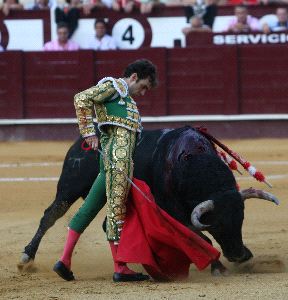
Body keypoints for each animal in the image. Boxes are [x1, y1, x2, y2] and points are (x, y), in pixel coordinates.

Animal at [18, 125, 280, 276]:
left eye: (241, 219)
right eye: (216, 224)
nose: (239, 255)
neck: (194, 163)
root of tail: (82, 141)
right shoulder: (173, 210)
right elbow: (198, 237)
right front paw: (218, 266)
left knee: (106, 223)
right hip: (70, 187)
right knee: (51, 215)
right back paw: (26, 258)